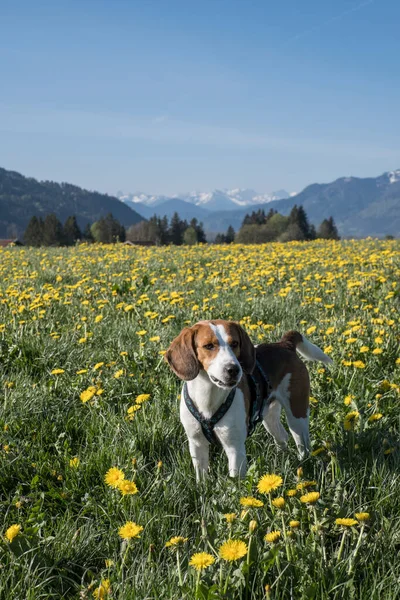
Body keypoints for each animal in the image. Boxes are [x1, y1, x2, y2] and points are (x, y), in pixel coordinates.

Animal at [164, 322, 332, 480]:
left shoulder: (235, 448)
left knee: (303, 444)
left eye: (235, 343)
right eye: (209, 346)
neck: (208, 395)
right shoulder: (197, 444)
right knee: (282, 436)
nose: (234, 369)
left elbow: (235, 483)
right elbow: (202, 478)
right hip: (269, 416)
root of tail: (285, 344)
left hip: (297, 415)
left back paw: (303, 464)